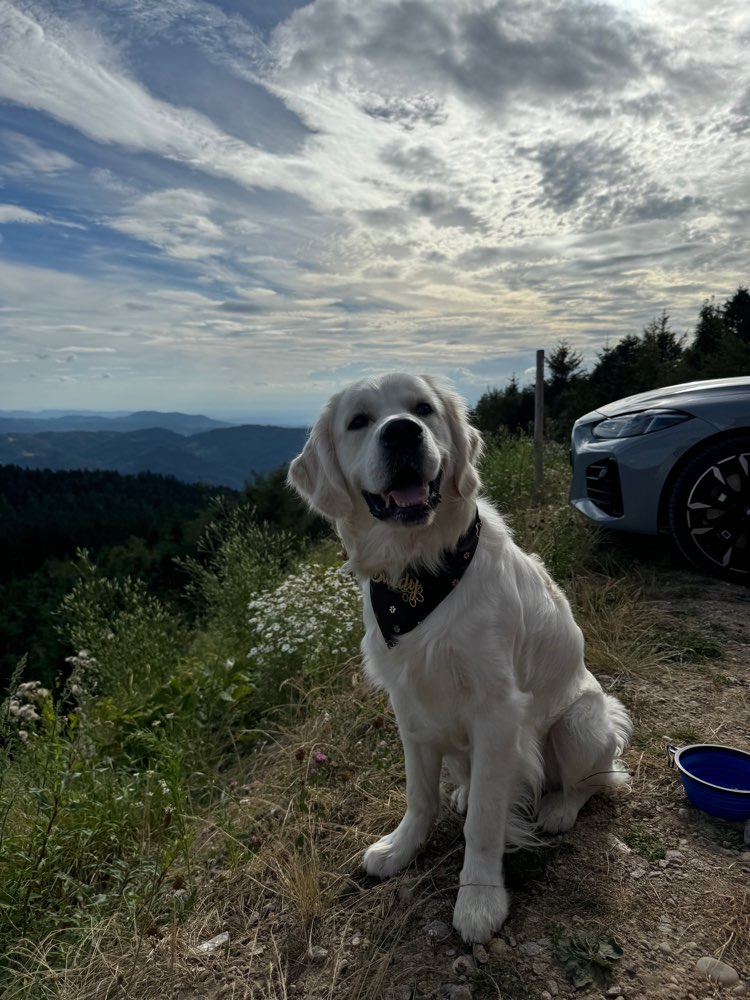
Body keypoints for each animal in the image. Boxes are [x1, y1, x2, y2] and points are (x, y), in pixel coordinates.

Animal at [290, 376, 632, 944]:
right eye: (358, 421)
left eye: (423, 409)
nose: (402, 433)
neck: (418, 574)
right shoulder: (410, 705)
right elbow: (419, 795)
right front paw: (400, 848)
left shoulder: (498, 710)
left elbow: (487, 823)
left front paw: (479, 899)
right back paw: (467, 793)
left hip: (582, 722)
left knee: (596, 779)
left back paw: (559, 807)